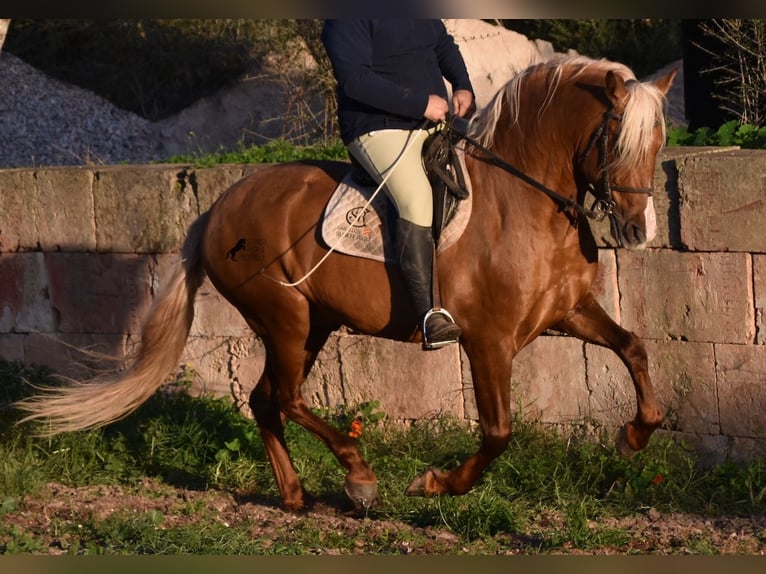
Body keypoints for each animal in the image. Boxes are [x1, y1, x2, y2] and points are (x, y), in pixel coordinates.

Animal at [15, 54, 680, 512]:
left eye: (659, 142)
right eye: (615, 138)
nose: (637, 229)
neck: (524, 203)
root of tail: (218, 208)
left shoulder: (569, 311)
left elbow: (634, 348)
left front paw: (633, 437)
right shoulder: (488, 341)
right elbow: (498, 433)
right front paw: (435, 483)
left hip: (313, 325)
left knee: (265, 400)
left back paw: (295, 495)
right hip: (286, 320)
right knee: (285, 398)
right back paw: (357, 477)